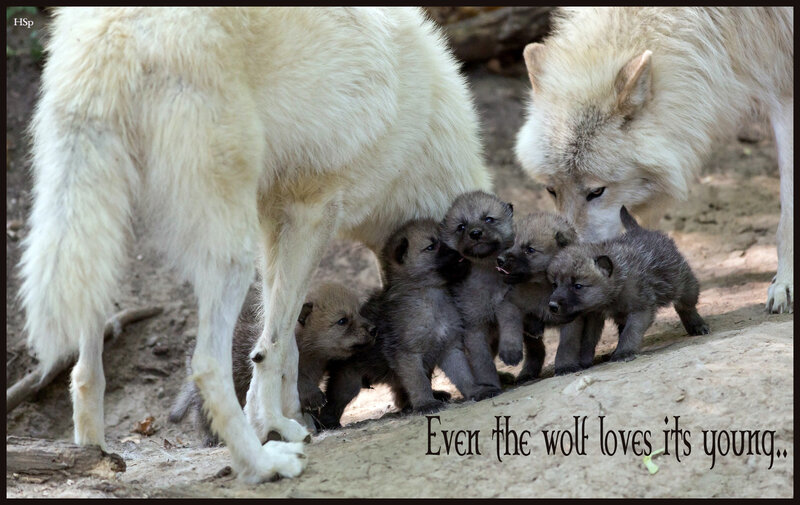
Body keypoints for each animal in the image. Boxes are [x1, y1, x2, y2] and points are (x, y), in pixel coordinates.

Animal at [169, 282, 376, 446]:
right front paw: (315, 401)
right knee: (203, 416)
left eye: (359, 312)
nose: (373, 328)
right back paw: (213, 439)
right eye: (342, 320)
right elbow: (301, 385)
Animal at [514, 7, 793, 314]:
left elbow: (787, 216)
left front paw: (784, 284)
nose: (563, 268)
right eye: (551, 190)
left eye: (596, 191)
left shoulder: (784, 86)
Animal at [547, 207, 709, 371]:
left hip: (684, 285)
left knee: (685, 306)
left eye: (578, 286)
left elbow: (630, 333)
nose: (552, 306)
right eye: (555, 285)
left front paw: (623, 353)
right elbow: (588, 339)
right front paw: (584, 360)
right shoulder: (595, 315)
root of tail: (640, 229)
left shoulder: (641, 309)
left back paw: (697, 325)